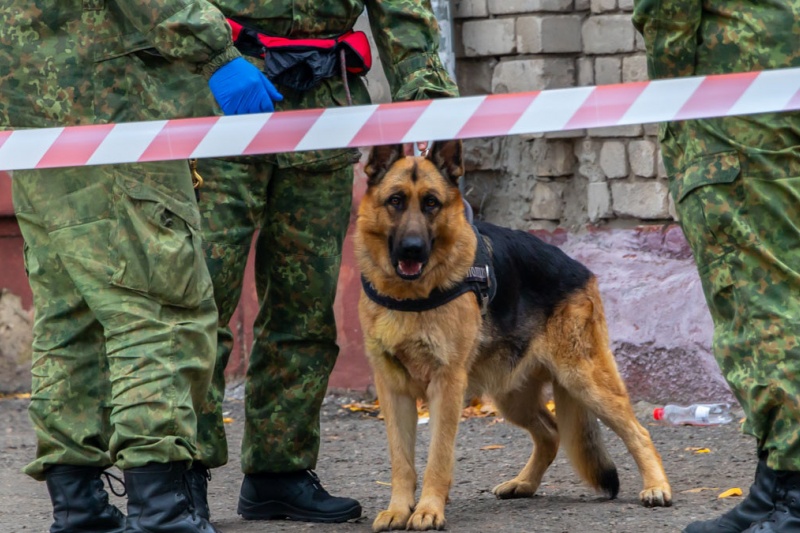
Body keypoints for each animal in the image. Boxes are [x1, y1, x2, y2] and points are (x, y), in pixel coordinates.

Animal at [354, 139, 672, 528]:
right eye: (396, 201)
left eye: (431, 203)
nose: (412, 248)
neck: (409, 297)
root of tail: (579, 268)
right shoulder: (393, 390)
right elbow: (401, 460)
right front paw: (400, 509)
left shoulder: (446, 386)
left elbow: (438, 457)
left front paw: (429, 508)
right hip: (511, 395)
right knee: (551, 432)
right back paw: (524, 484)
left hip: (584, 380)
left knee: (637, 431)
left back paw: (656, 487)